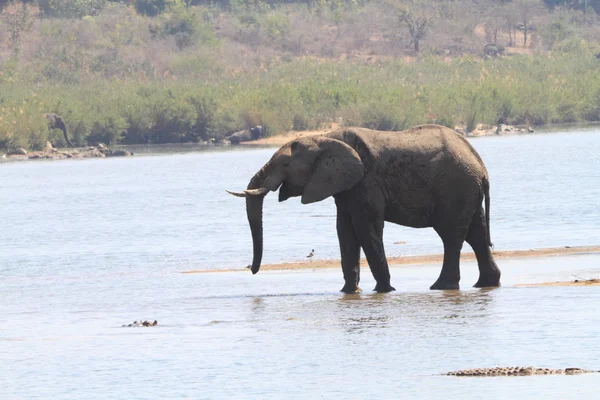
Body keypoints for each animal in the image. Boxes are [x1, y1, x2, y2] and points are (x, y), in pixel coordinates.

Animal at [227, 123, 500, 292]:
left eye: (284, 164)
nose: (253, 271)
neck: (326, 137)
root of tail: (482, 167)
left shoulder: (366, 181)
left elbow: (365, 228)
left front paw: (384, 290)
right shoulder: (345, 185)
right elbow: (344, 230)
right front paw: (348, 291)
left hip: (456, 188)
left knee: (452, 236)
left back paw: (442, 287)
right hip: (466, 191)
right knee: (476, 234)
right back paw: (485, 284)